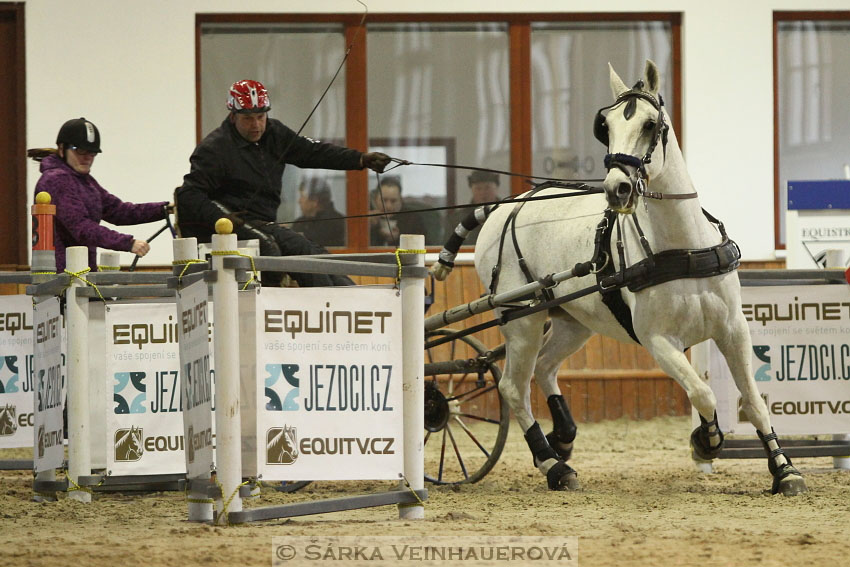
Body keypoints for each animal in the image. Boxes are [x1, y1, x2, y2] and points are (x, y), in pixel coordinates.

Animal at [434, 61, 804, 496]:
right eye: (605, 126)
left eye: (650, 124)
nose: (618, 188)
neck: (681, 249)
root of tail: (506, 206)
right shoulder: (657, 339)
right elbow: (703, 392)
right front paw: (706, 441)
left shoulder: (732, 329)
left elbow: (754, 401)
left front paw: (784, 469)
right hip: (522, 319)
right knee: (513, 387)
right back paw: (553, 465)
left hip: (572, 321)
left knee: (544, 368)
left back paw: (562, 439)